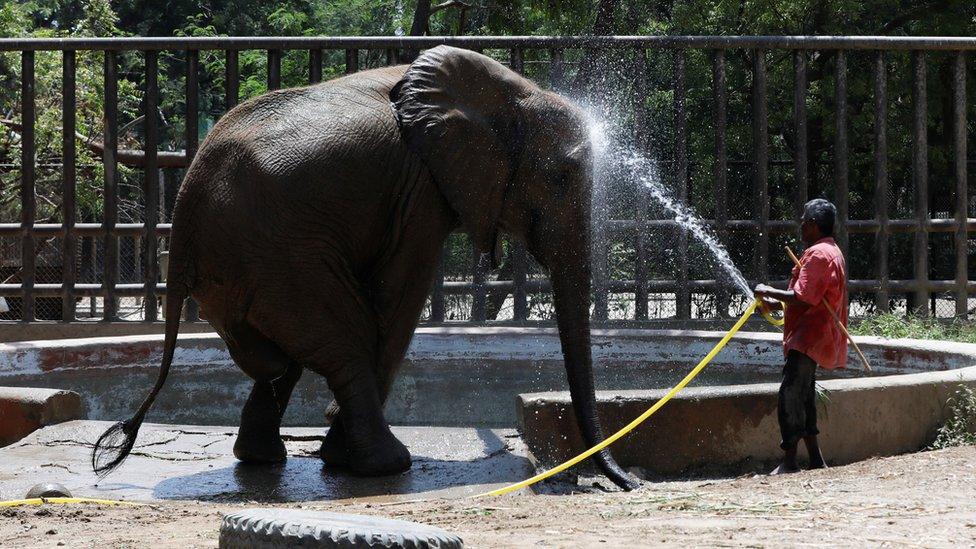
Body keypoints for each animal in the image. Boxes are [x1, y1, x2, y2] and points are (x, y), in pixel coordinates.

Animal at [93, 45, 640, 490]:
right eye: (561, 177)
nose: (629, 482)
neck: (509, 90)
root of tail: (184, 213)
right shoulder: (420, 190)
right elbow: (400, 292)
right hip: (279, 257)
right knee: (342, 333)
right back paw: (386, 464)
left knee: (281, 355)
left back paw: (267, 458)